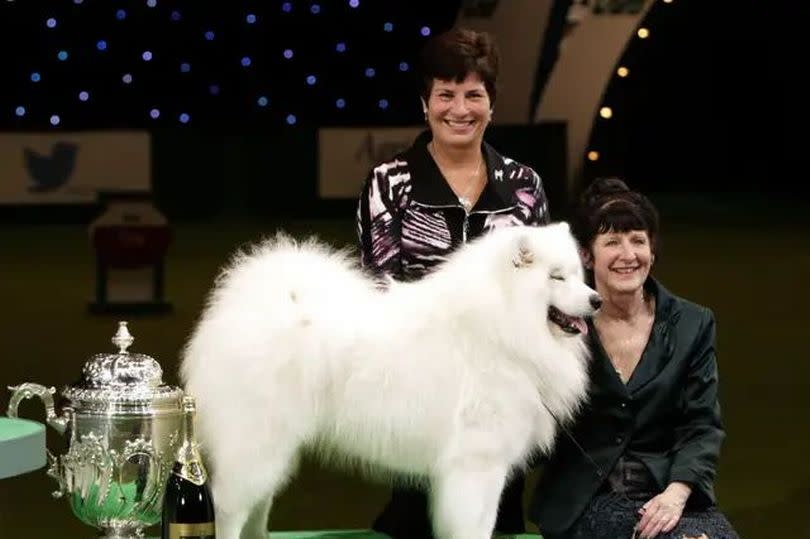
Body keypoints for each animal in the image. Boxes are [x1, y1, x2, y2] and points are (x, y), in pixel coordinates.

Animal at [183, 223, 600, 539]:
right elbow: (475, 526)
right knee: (228, 507)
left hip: (271, 450)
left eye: (578, 275)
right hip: (257, 444)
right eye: (556, 277)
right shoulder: (477, 463)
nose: (597, 300)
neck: (501, 328)